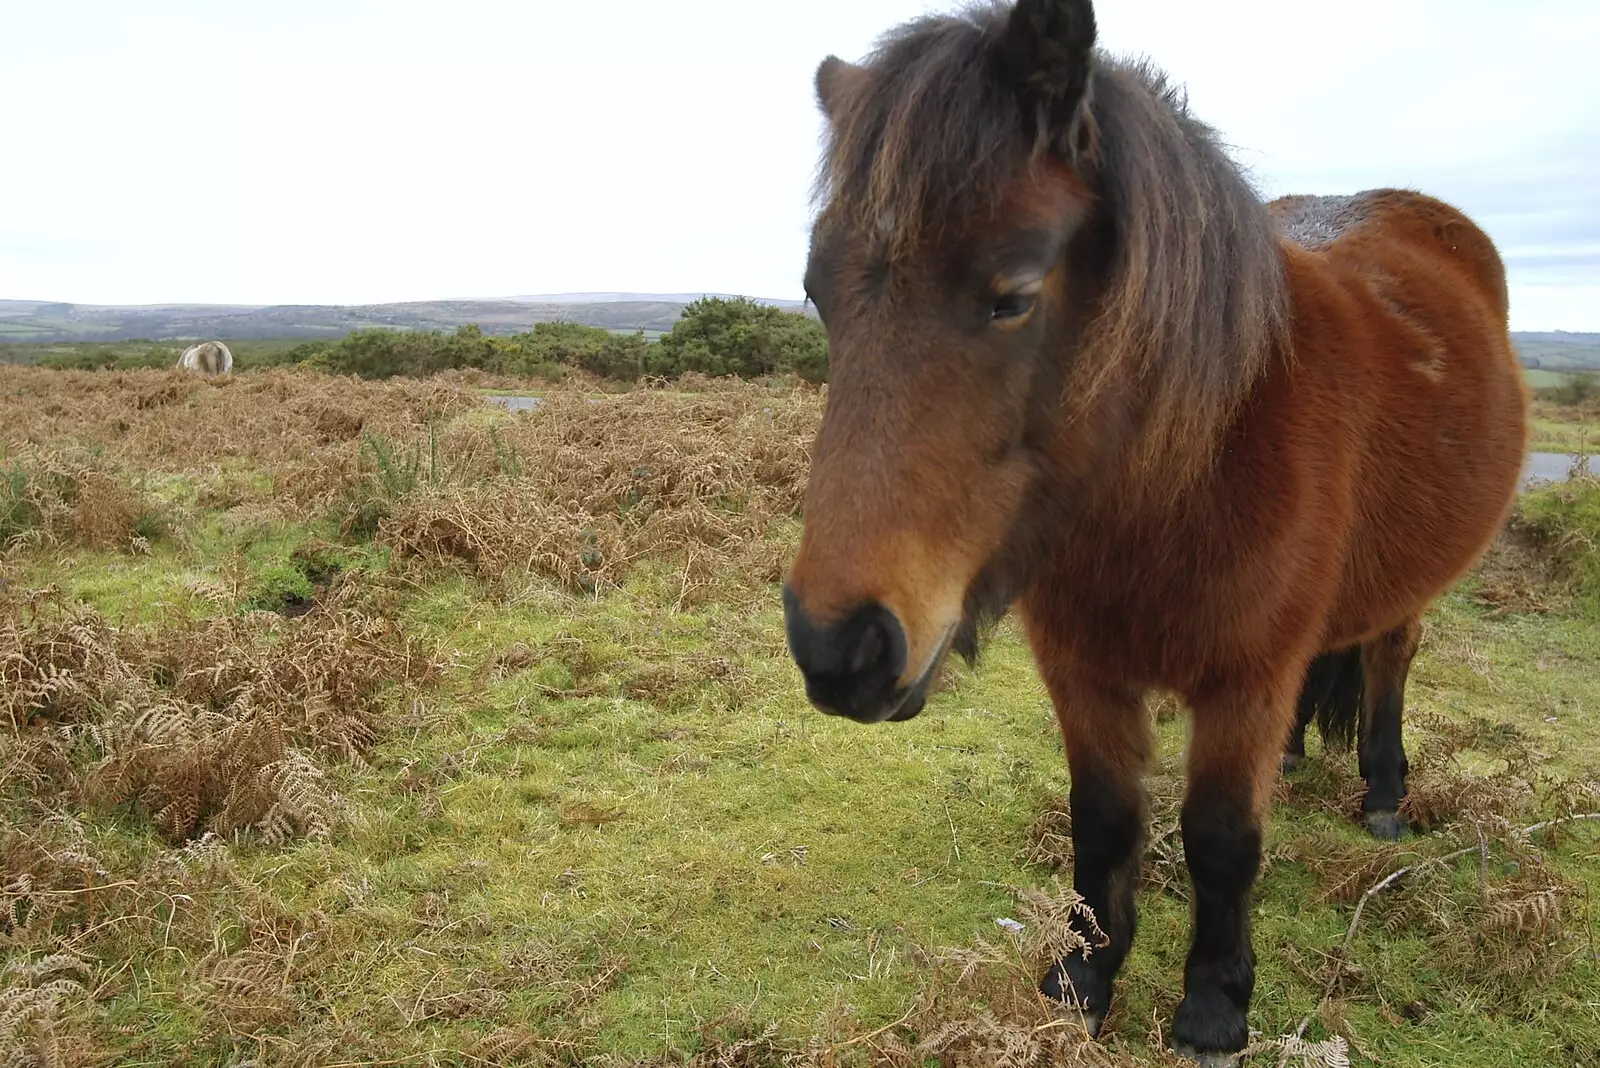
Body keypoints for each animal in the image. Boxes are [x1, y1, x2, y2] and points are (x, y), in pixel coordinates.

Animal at [780, 0, 1529, 1061]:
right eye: (818, 292)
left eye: (1013, 295)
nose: (840, 647)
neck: (1181, 482)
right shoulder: (1085, 670)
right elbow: (1104, 821)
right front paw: (1082, 980)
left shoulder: (1245, 678)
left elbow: (1220, 837)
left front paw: (1214, 1009)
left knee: (1390, 655)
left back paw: (1384, 795)